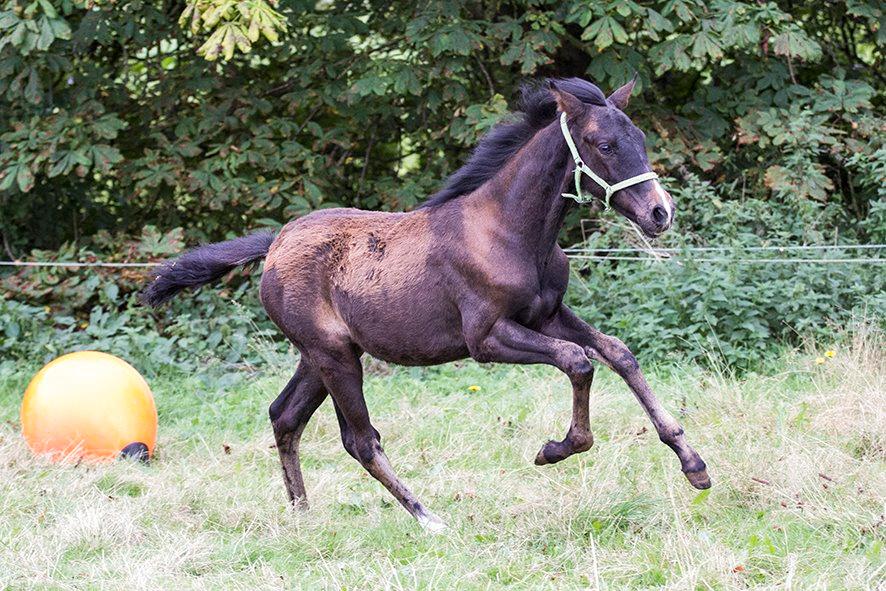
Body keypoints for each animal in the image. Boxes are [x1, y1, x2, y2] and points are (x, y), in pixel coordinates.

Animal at [146, 76, 716, 536]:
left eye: (640, 139)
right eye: (604, 144)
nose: (660, 213)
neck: (508, 231)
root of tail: (277, 242)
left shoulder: (549, 315)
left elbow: (618, 354)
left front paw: (693, 464)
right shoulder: (486, 338)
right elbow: (578, 362)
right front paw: (554, 450)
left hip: (321, 355)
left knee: (285, 417)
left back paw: (302, 515)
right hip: (334, 356)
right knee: (359, 440)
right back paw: (428, 518)